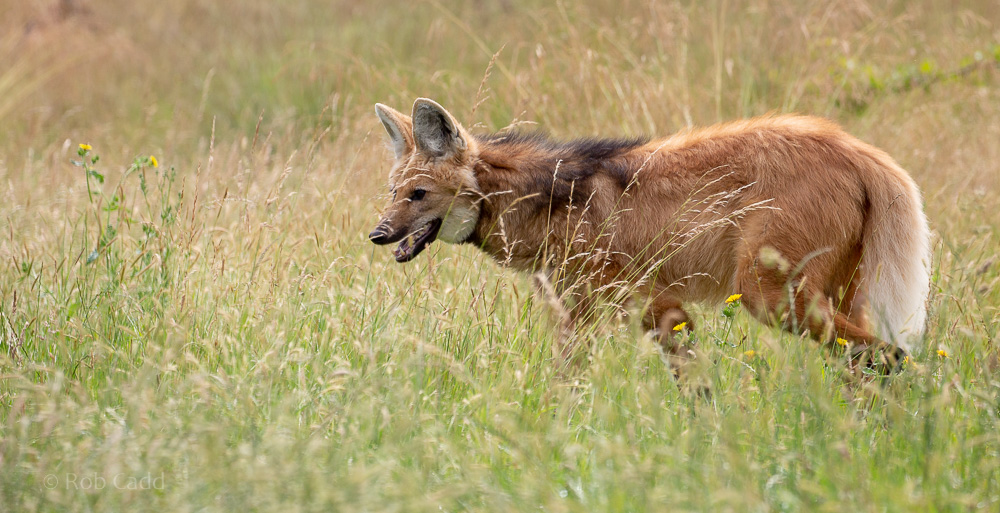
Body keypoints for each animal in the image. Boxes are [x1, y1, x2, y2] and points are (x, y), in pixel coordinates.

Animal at [368, 98, 930, 365]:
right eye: (393, 191)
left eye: (419, 195)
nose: (378, 234)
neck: (547, 196)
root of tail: (857, 149)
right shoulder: (612, 310)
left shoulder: (637, 303)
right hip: (835, 294)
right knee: (870, 364)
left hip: (770, 295)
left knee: (894, 357)